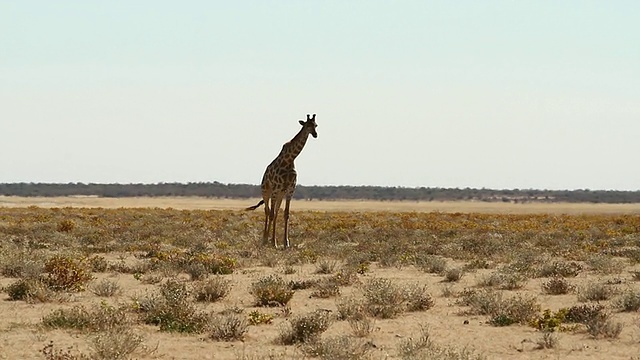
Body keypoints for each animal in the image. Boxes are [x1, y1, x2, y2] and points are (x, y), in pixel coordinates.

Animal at [245, 114, 318, 249]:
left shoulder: (290, 190)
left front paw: (285, 242)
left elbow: (286, 214)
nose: (315, 134)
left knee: (276, 212)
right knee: (268, 211)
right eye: (307, 125)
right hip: (266, 192)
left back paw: (270, 239)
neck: (290, 159)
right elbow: (272, 213)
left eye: (315, 125)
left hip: (280, 194)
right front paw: (273, 242)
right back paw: (265, 239)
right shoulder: (276, 189)